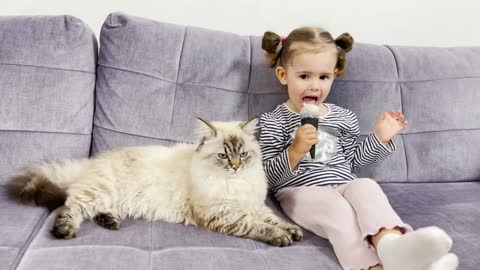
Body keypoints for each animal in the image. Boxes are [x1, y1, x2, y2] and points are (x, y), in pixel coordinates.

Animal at [7, 119, 302, 246]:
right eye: (223, 155)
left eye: (243, 154)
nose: (235, 167)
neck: (235, 185)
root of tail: (92, 161)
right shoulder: (225, 213)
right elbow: (258, 226)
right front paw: (282, 237)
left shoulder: (254, 205)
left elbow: (272, 218)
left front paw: (293, 231)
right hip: (98, 192)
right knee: (71, 208)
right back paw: (64, 230)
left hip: (109, 198)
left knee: (97, 210)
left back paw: (109, 221)